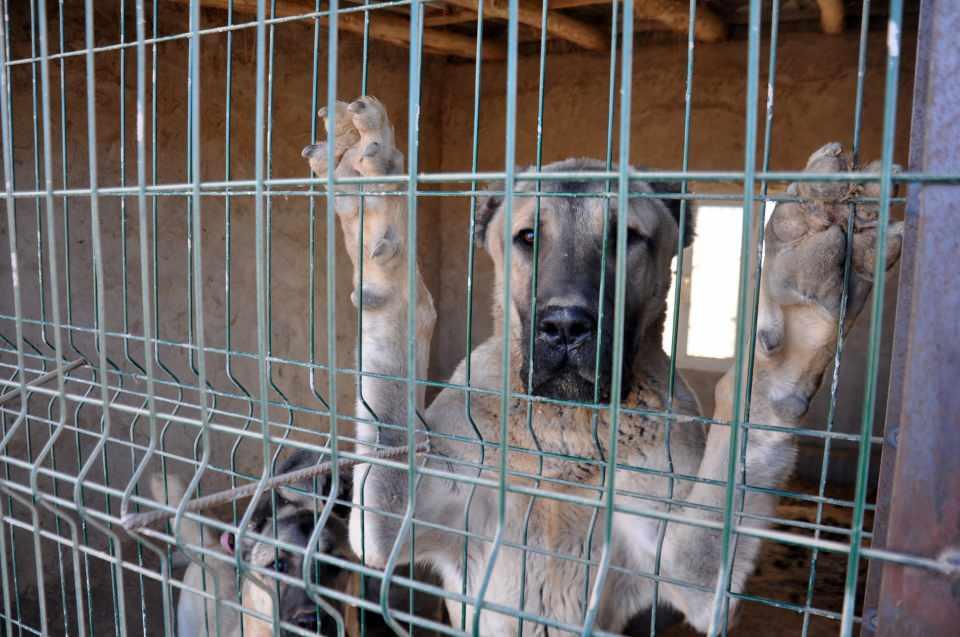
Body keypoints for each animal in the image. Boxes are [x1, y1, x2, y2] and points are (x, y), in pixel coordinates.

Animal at [303, 96, 904, 634]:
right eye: (528, 237)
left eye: (625, 237)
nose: (566, 325)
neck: (566, 430)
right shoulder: (387, 524)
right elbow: (393, 356)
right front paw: (371, 198)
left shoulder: (693, 574)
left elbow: (748, 427)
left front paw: (804, 293)